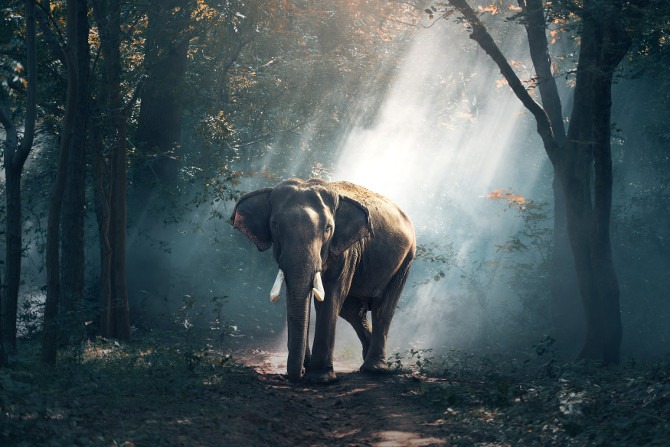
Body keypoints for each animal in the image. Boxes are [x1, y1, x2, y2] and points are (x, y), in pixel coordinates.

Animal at [230, 178, 416, 383]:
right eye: (275, 224)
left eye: (328, 228)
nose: (298, 374)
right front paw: (307, 369)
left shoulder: (346, 250)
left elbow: (330, 297)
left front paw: (320, 378)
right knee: (352, 311)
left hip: (405, 260)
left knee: (382, 308)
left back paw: (374, 369)